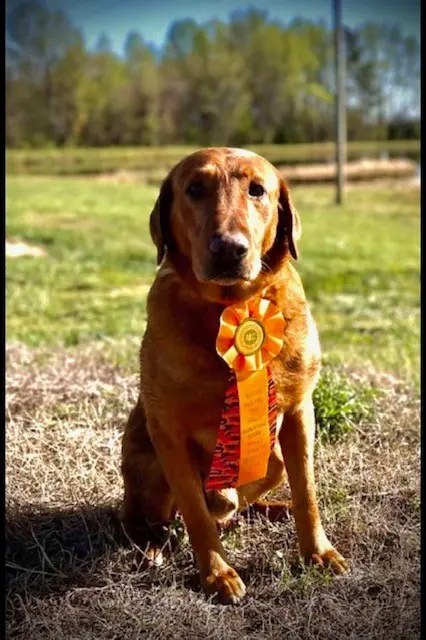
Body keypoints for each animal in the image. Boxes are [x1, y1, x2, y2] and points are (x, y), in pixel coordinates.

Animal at [121, 148, 348, 604]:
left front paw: (318, 551)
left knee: (240, 506)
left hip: (272, 460)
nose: (229, 249)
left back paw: (268, 509)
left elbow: (308, 492)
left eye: (257, 189)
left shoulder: (300, 413)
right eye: (194, 189)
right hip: (144, 459)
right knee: (152, 519)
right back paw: (153, 547)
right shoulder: (168, 431)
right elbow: (195, 512)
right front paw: (216, 573)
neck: (230, 307)